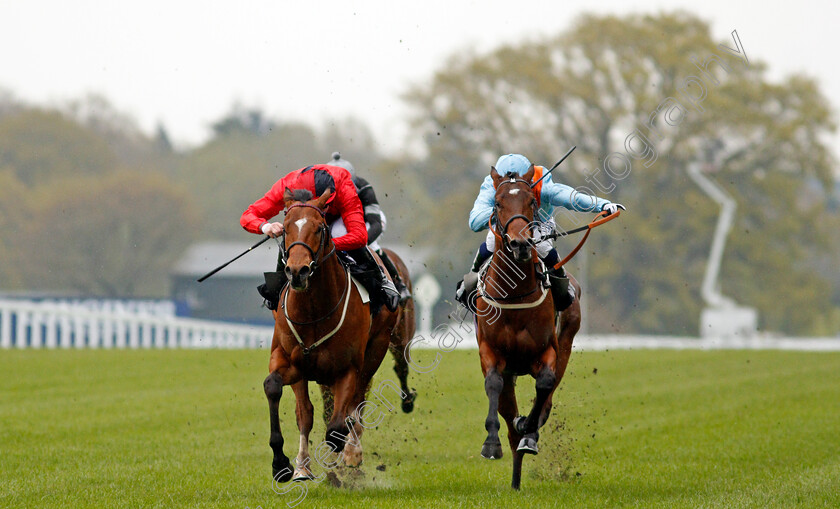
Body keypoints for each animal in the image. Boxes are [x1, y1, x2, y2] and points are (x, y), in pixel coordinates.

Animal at [264, 189, 416, 482]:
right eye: (285, 228)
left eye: (319, 228)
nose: (297, 271)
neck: (314, 311)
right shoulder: (292, 361)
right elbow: (291, 402)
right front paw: (288, 464)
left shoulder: (348, 367)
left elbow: (337, 427)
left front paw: (343, 461)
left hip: (382, 345)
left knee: (366, 394)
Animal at [476, 166, 580, 488]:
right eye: (497, 203)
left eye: (531, 202)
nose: (520, 244)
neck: (515, 293)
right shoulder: (490, 351)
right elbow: (493, 385)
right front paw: (491, 444)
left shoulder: (547, 351)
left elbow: (544, 385)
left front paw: (529, 432)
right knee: (508, 415)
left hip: (567, 342)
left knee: (548, 395)